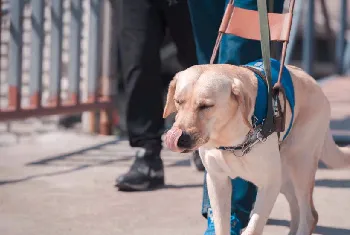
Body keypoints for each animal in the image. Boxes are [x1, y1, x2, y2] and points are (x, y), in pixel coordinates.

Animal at [163, 63, 350, 235]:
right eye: (178, 102)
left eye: (205, 106)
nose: (179, 139)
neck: (228, 139)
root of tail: (313, 82)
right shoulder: (217, 181)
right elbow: (221, 225)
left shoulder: (269, 184)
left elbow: (253, 228)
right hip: (284, 176)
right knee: (296, 208)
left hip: (300, 165)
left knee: (310, 215)